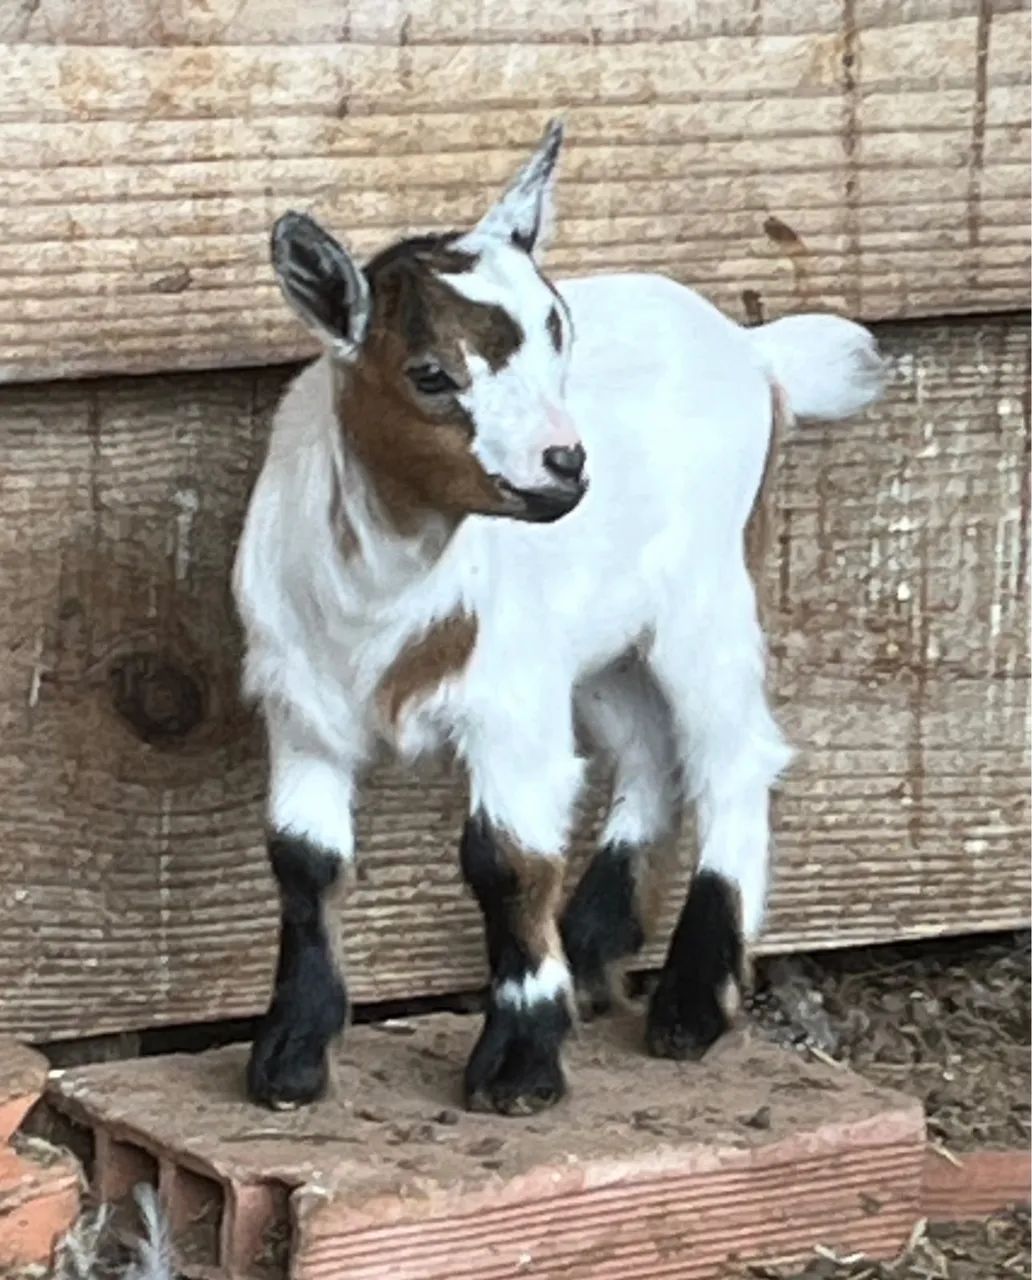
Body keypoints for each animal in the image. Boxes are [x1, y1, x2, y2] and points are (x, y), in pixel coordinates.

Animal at [233, 120, 886, 1115]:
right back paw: (594, 944)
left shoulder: (509, 703)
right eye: (431, 375)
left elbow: (506, 860)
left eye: (558, 337)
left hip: (705, 589)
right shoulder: (300, 705)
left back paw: (692, 1002)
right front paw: (291, 1056)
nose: (567, 464)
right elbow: (303, 861)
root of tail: (753, 353)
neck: (389, 587)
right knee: (649, 746)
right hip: (602, 644)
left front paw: (521, 1062)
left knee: (732, 754)